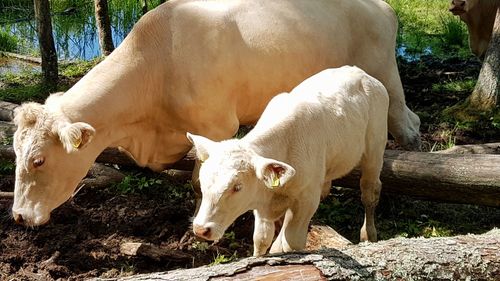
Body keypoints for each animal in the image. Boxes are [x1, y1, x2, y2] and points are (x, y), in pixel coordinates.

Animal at [11, 0, 420, 225]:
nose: (17, 215)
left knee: (408, 128)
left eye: (38, 161)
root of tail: (381, 6)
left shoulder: (218, 126)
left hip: (386, 75)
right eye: (15, 153)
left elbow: (199, 181)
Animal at [189, 66, 388, 256]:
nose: (200, 229)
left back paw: (369, 234)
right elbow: (261, 239)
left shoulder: (307, 199)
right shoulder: (262, 201)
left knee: (370, 191)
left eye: (237, 187)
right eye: (202, 182)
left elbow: (292, 242)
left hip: (375, 148)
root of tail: (362, 73)